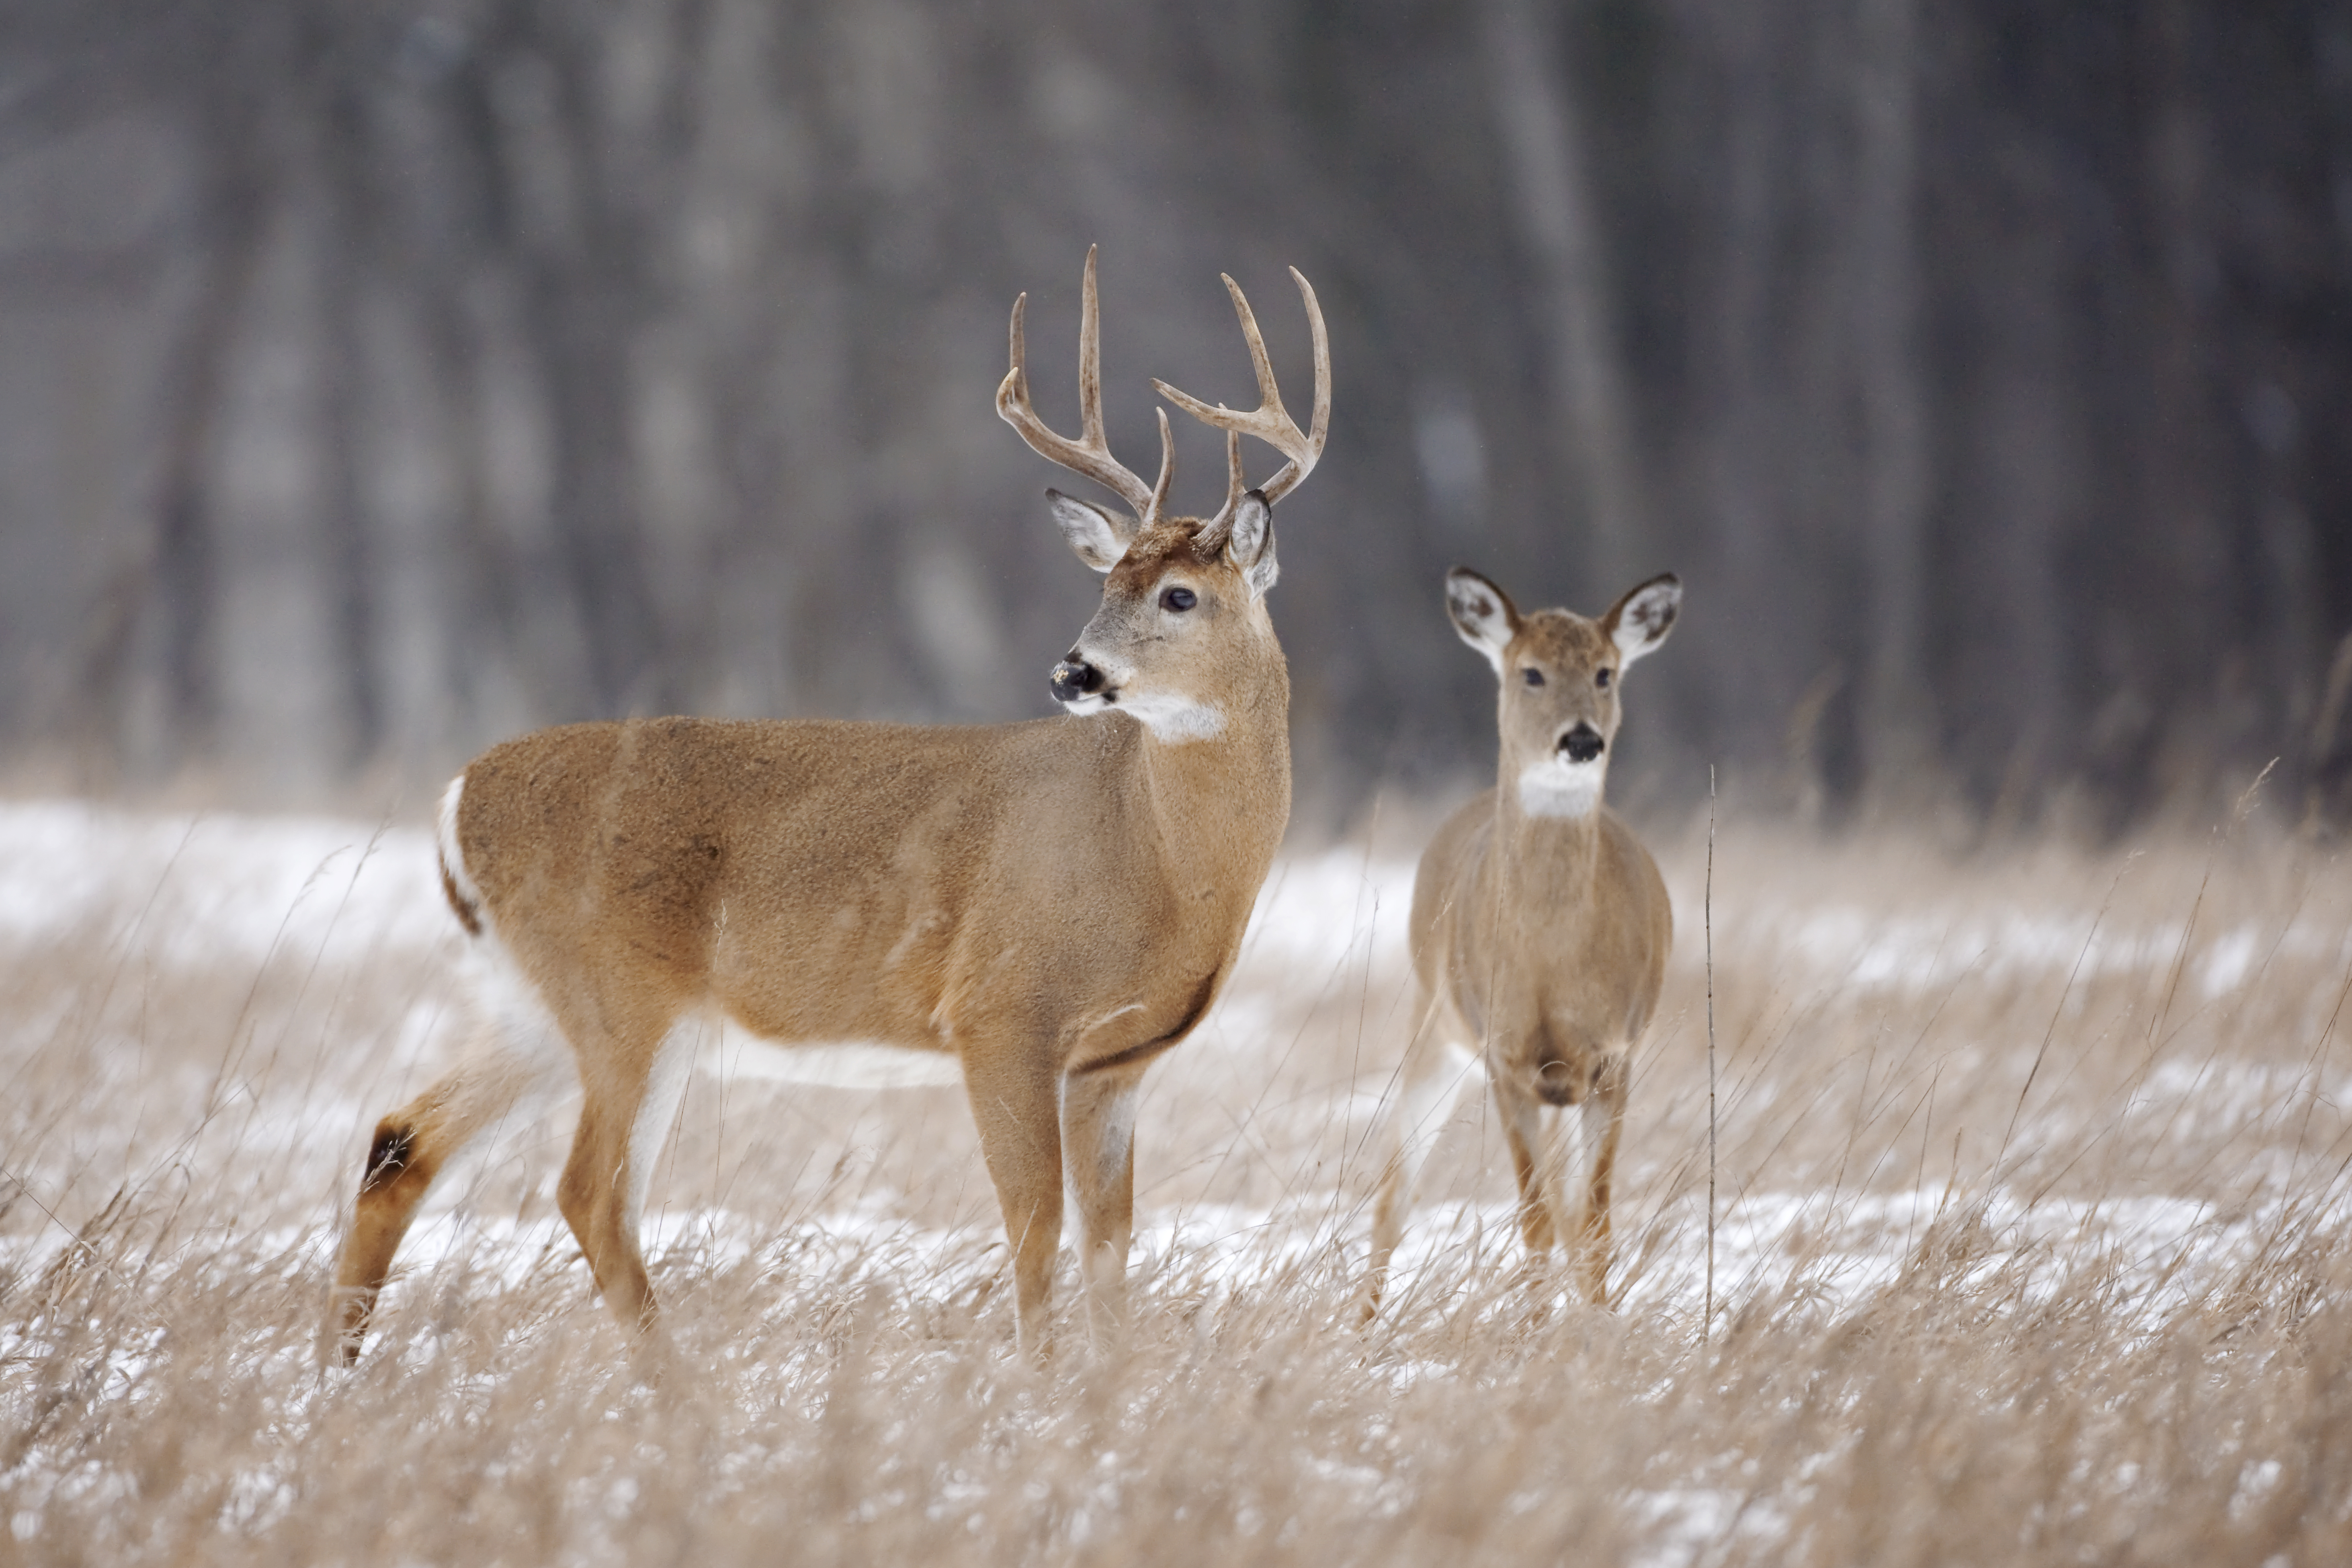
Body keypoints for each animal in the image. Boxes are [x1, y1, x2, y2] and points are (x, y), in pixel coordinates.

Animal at [322, 251, 1336, 1363]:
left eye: (1179, 596)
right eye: (1108, 581)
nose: (1072, 672)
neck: (1159, 861)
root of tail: (458, 798)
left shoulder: (1115, 1064)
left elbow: (1110, 1249)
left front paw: (1111, 1386)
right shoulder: (1000, 1012)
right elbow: (1034, 1231)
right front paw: (1040, 1383)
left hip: (531, 1001)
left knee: (402, 1140)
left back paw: (338, 1373)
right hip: (623, 993)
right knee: (590, 1191)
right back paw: (681, 1389)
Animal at [1364, 564, 1693, 1316]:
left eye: (1605, 672)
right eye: (1531, 673)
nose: (1581, 740)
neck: (1550, 962)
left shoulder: (1612, 1054)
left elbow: (1591, 1222)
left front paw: (1592, 1330)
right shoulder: (1504, 1055)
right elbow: (1536, 1219)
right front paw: (1536, 1330)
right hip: (1434, 1025)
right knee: (1393, 1196)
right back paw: (1360, 1326)